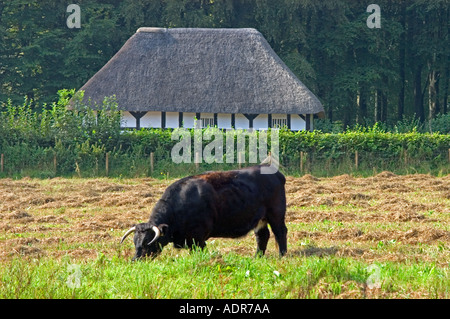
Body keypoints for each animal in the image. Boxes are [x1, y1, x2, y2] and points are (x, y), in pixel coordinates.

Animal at [120, 165, 288, 260]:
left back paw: (282, 255)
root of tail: (276, 173)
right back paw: (257, 257)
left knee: (280, 232)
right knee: (262, 236)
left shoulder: (198, 238)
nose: (136, 260)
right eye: (135, 242)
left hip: (276, 214)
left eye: (147, 243)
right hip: (260, 219)